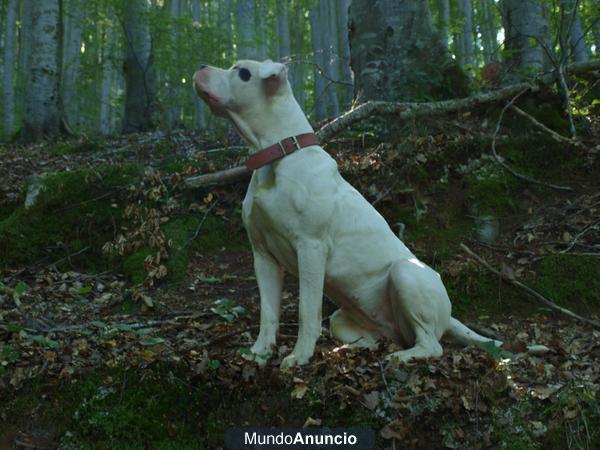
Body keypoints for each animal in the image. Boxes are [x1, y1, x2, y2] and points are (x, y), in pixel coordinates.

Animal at [193, 60, 506, 370]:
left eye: (242, 72)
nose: (201, 67)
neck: (279, 155)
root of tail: (450, 317)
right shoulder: (263, 256)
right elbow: (268, 312)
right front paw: (260, 352)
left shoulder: (311, 248)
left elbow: (307, 310)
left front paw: (300, 355)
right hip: (344, 319)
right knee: (375, 339)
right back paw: (350, 350)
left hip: (405, 273)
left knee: (432, 344)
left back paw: (402, 356)